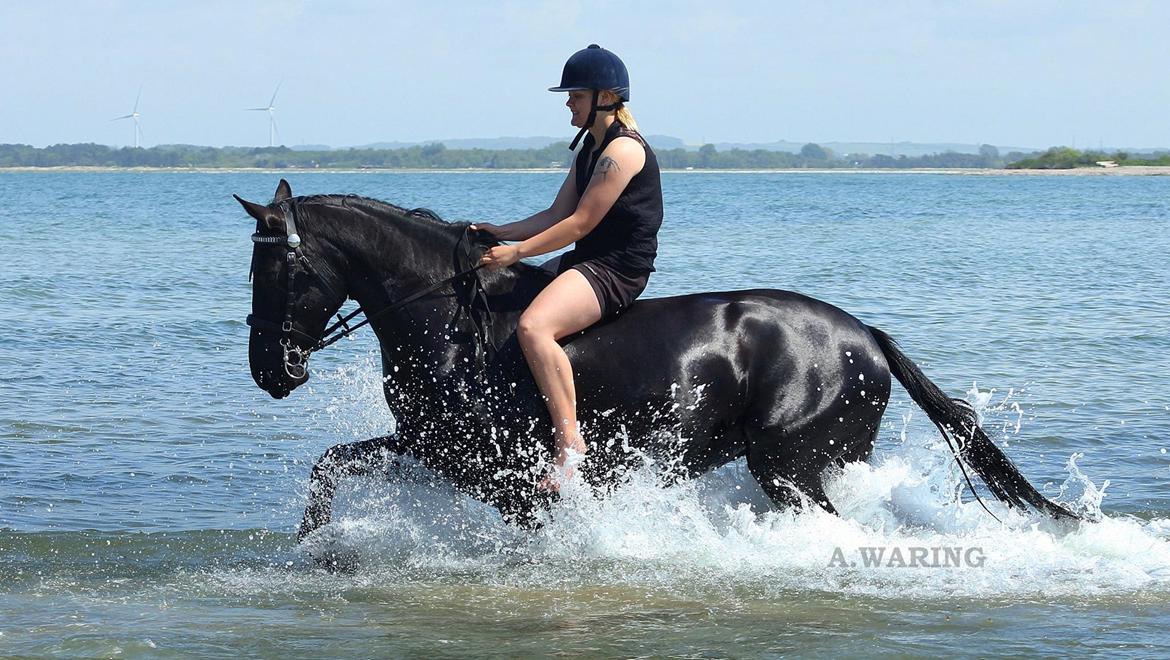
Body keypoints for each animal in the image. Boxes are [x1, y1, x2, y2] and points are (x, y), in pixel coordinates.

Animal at [237, 177, 1076, 538]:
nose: (269, 372)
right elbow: (330, 466)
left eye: (276, 270)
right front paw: (315, 548)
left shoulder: (492, 468)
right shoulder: (431, 449)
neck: (447, 321)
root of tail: (866, 336)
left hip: (791, 465)